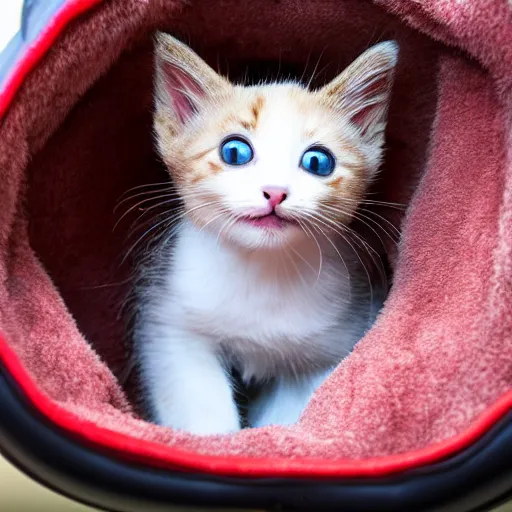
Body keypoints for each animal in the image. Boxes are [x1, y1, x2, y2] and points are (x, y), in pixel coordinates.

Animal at [134, 32, 398, 434]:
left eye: (318, 161)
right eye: (235, 151)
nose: (275, 191)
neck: (263, 269)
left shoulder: (339, 339)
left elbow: (291, 407)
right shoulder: (169, 322)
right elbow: (196, 399)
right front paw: (217, 439)